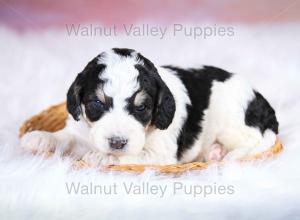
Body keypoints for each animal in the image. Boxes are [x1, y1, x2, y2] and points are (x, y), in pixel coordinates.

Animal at [21, 47, 278, 165]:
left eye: (141, 108)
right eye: (97, 103)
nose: (117, 143)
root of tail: (261, 101)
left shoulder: (159, 154)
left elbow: (133, 155)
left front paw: (103, 157)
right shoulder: (79, 129)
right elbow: (65, 137)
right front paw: (40, 138)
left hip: (232, 123)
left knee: (251, 141)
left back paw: (218, 153)